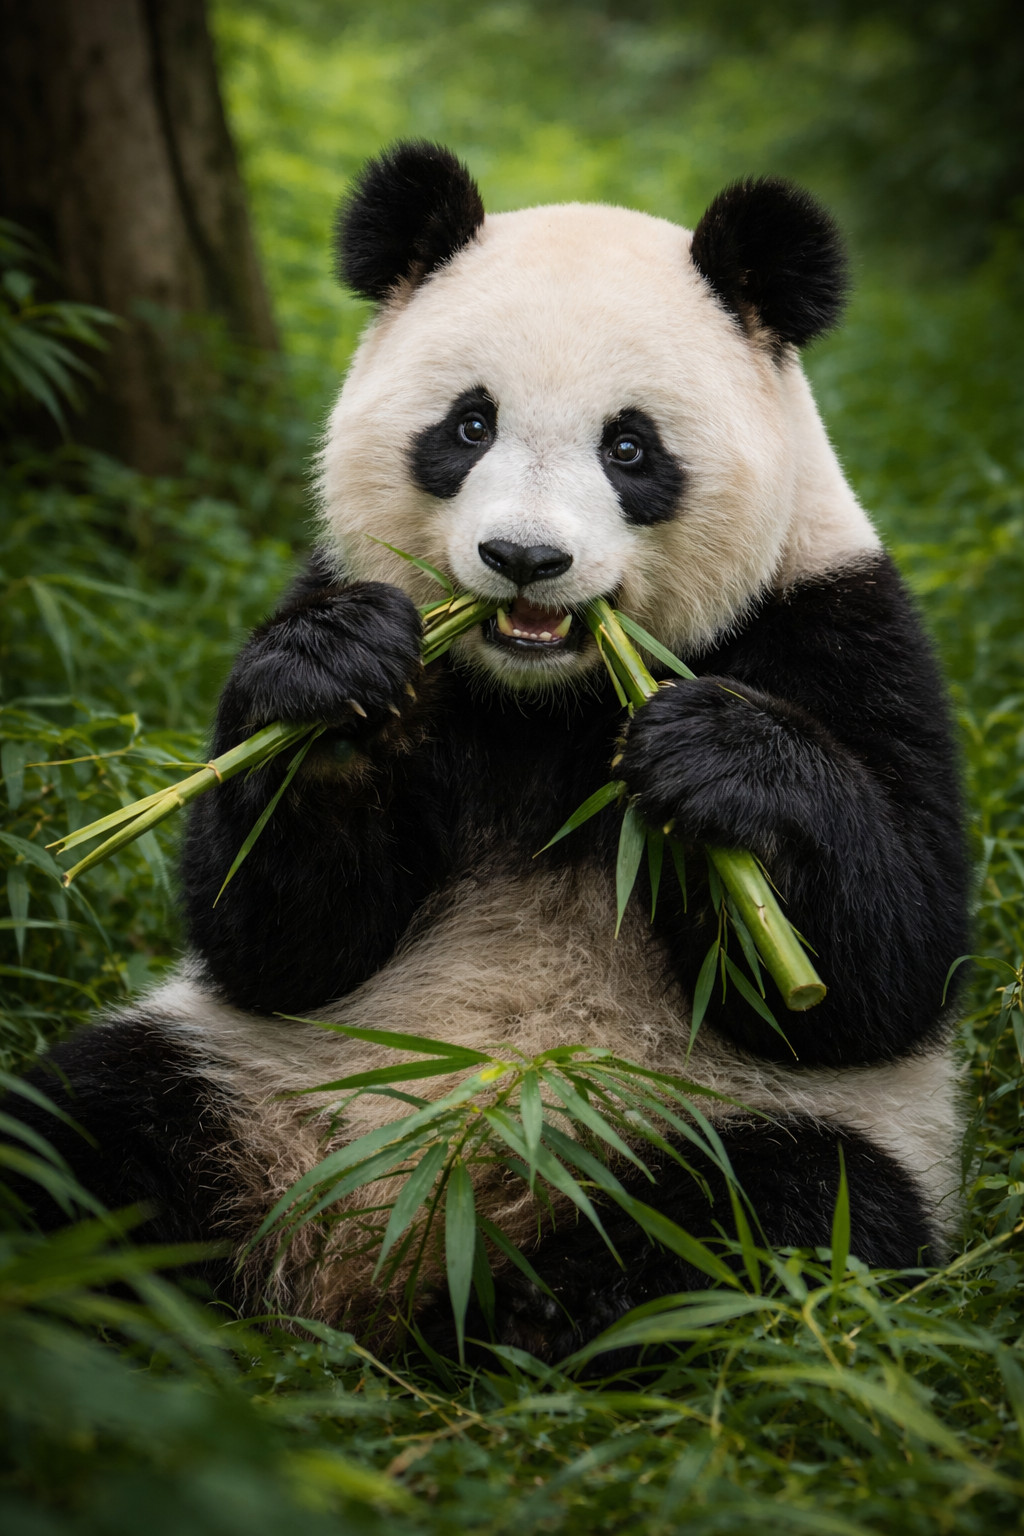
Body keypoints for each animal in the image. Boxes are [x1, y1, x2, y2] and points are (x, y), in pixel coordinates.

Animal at [9, 142, 969, 1360]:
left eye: (629, 447)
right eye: (468, 428)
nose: (523, 559)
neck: (542, 700)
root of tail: (377, 1249)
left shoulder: (839, 627)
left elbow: (887, 965)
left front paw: (720, 759)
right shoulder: (355, 597)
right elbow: (273, 939)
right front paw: (331, 692)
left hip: (722, 1123)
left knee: (774, 1217)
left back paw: (539, 1312)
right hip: (245, 1077)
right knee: (81, 1129)